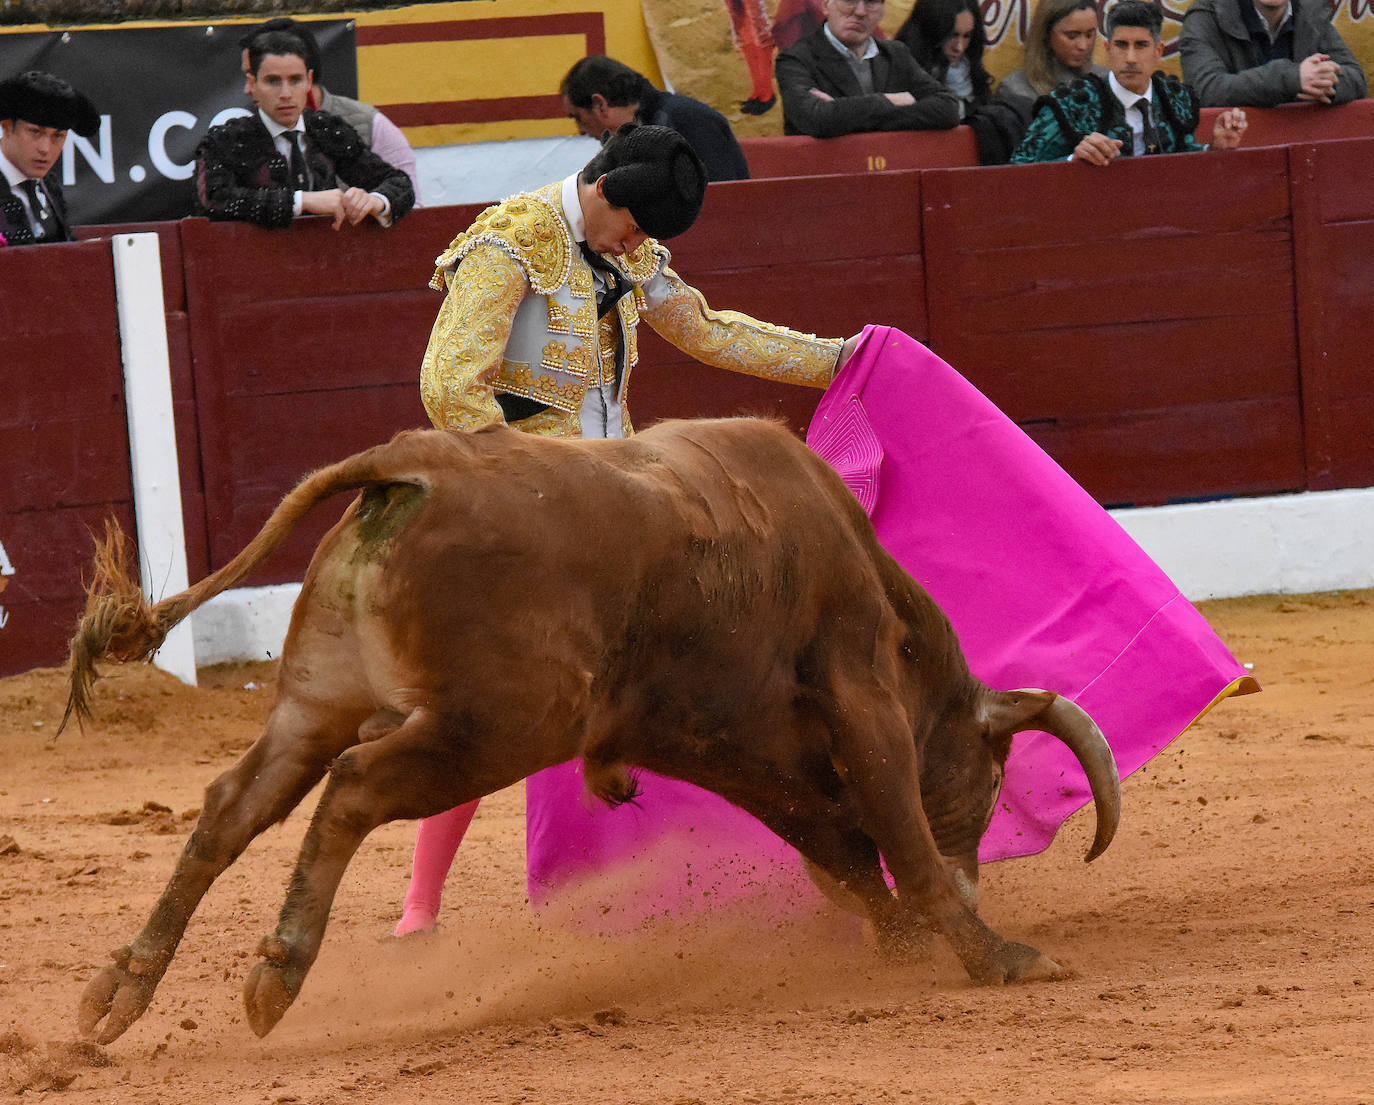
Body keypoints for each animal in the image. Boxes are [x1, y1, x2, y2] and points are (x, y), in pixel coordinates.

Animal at [64, 417, 1115, 1044]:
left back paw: (119, 991)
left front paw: (901, 940)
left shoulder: (732, 746)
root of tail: (418, 459)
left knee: (231, 806)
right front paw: (993, 955)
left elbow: (844, 847)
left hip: (314, 704)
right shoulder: (857, 694)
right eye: (992, 781)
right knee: (356, 787)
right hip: (495, 725)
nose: (983, 877)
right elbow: (895, 829)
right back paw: (277, 972)